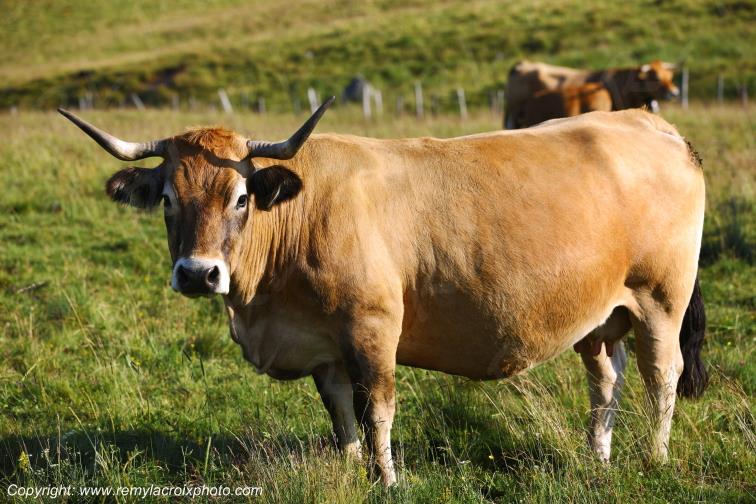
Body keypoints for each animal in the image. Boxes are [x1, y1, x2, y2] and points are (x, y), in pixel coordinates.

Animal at [60, 101, 708, 486]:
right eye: (169, 199)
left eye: (241, 198)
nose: (198, 274)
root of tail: (649, 122)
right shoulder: (322, 346)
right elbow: (340, 412)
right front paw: (351, 470)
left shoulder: (372, 331)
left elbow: (376, 409)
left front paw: (387, 479)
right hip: (598, 313)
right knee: (605, 379)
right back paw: (598, 457)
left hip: (660, 299)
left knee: (662, 375)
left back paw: (653, 458)